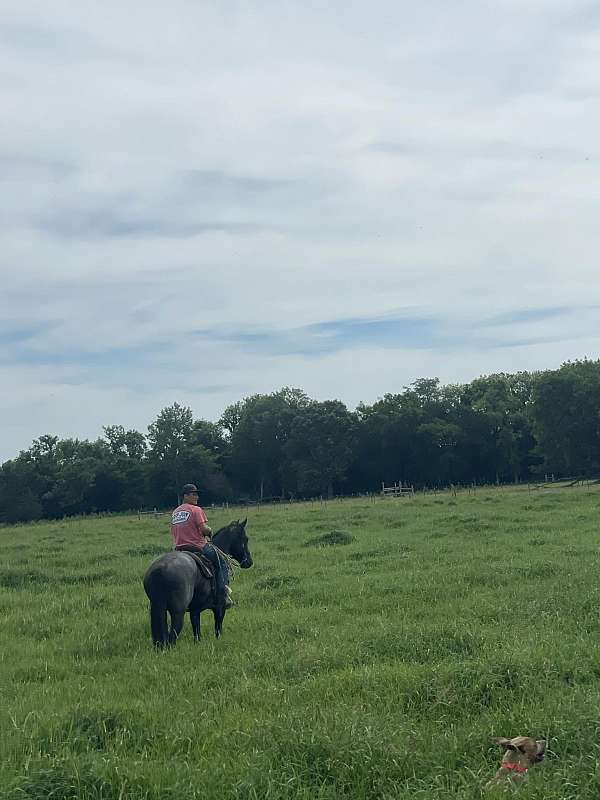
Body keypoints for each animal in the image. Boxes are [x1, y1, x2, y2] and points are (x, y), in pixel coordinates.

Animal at [144, 520, 253, 648]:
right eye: (245, 539)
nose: (249, 562)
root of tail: (160, 569)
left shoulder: (195, 610)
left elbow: (197, 631)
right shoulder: (219, 607)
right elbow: (218, 628)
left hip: (159, 609)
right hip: (178, 613)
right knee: (172, 637)